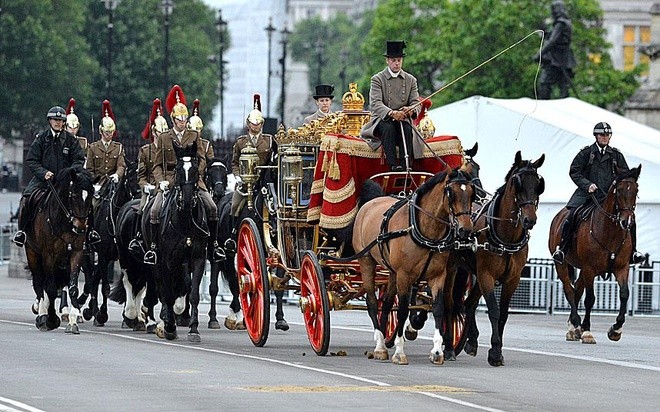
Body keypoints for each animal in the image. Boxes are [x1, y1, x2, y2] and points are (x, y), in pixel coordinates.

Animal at [24, 166, 94, 334]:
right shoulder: (48, 255)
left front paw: (73, 320)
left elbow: (73, 287)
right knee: (39, 281)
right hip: (32, 253)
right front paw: (50, 319)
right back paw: (42, 314)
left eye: (90, 197)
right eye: (73, 195)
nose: (80, 227)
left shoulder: (77, 252)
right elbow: (49, 287)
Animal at [144, 142, 209, 342]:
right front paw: (170, 327)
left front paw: (194, 329)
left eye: (195, 169)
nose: (187, 201)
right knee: (161, 287)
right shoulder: (168, 261)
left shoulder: (198, 258)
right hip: (156, 262)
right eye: (178, 170)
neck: (185, 220)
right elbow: (168, 294)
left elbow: (193, 293)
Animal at [354, 166, 476, 366]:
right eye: (450, 193)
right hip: (366, 262)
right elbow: (403, 310)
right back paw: (380, 346)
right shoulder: (405, 275)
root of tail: (371, 202)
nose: (465, 230)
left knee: (386, 304)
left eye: (472, 194)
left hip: (392, 272)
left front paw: (437, 352)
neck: (425, 230)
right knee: (372, 302)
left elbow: (438, 308)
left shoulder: (438, 276)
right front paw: (399, 352)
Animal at [458, 152, 548, 366]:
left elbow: (504, 313)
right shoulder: (487, 275)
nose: (529, 220)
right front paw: (495, 351)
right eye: (517, 183)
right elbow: (493, 310)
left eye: (538, 184)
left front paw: (495, 349)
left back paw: (471, 341)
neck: (506, 237)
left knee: (469, 304)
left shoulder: (512, 279)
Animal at [548, 164, 640, 344]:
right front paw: (587, 332)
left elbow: (624, 294)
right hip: (562, 264)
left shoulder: (621, 268)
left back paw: (573, 327)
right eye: (619, 190)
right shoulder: (590, 268)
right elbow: (590, 299)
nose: (626, 222)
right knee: (569, 290)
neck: (610, 231)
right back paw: (576, 325)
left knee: (577, 290)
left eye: (636, 190)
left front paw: (616, 329)